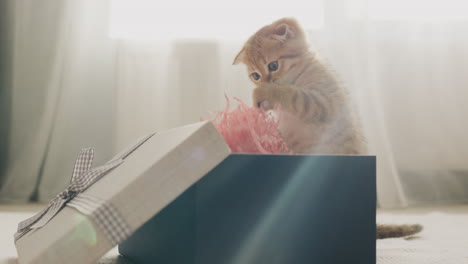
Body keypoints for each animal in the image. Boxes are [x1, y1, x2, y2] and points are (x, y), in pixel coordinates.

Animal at [232, 17, 422, 239]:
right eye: (255, 75)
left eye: (273, 65)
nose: (262, 81)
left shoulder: (323, 103)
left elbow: (294, 95)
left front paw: (267, 93)